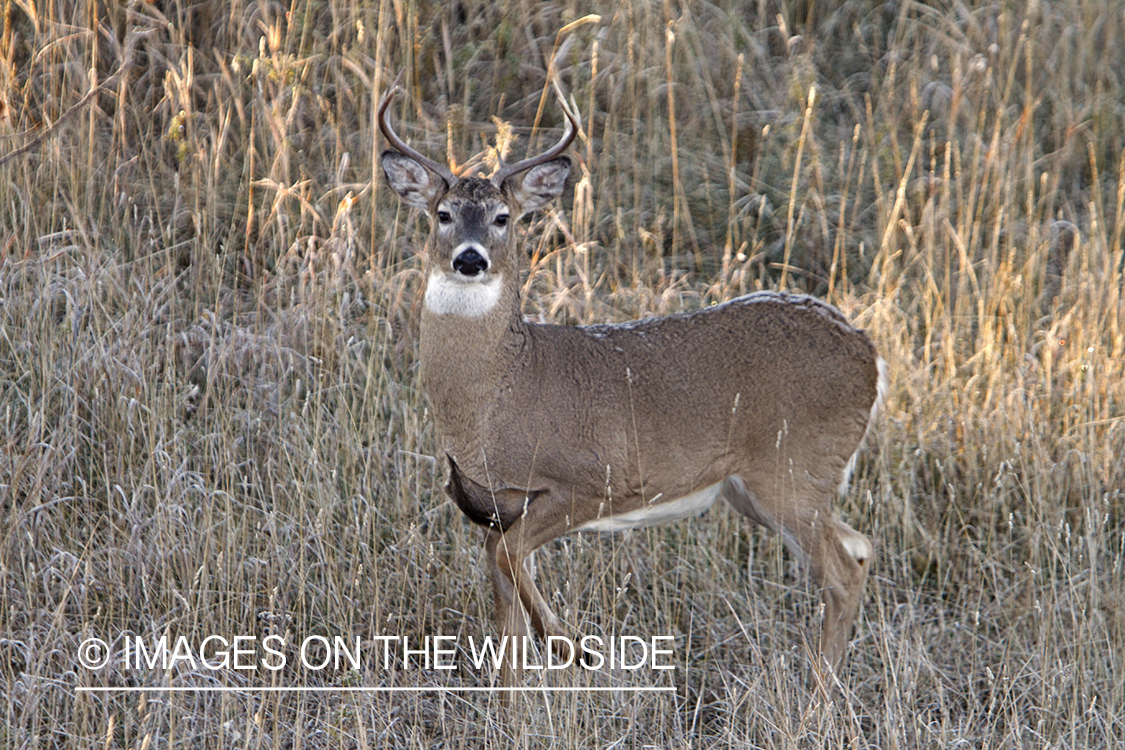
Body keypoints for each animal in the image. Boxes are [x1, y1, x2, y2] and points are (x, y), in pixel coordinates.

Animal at [378, 76, 886, 692]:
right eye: (443, 213)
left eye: (503, 217)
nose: (470, 260)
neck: (501, 392)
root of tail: (868, 352)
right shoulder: (498, 506)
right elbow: (505, 604)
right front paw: (515, 696)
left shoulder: (590, 481)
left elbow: (506, 560)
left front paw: (573, 646)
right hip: (763, 486)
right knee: (859, 548)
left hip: (793, 468)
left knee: (840, 572)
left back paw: (819, 696)